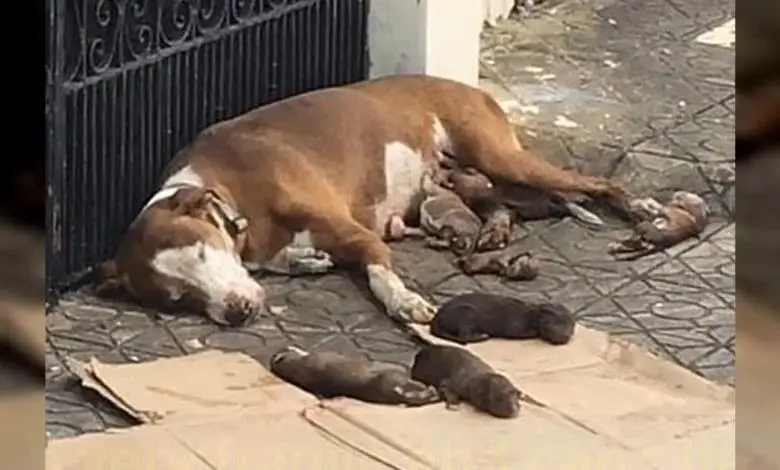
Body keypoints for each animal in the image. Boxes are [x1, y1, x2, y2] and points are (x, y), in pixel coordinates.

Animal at [94, 75, 632, 326]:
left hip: (499, 155)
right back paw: (496, 230)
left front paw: (405, 301)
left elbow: (378, 271)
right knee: (508, 204)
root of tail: (470, 87)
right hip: (478, 177)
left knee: (595, 185)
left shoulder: (355, 232)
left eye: (204, 254)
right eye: (177, 298)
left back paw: (639, 211)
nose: (238, 311)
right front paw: (305, 260)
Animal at [270, 346, 442, 408]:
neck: (297, 365)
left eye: (285, 349)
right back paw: (430, 390)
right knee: (416, 390)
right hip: (396, 378)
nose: (287, 345)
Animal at [430, 294, 576, 346]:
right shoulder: (514, 326)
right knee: (464, 335)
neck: (532, 315)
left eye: (571, 327)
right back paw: (481, 336)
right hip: (467, 312)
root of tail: (435, 320)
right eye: (556, 323)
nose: (564, 336)